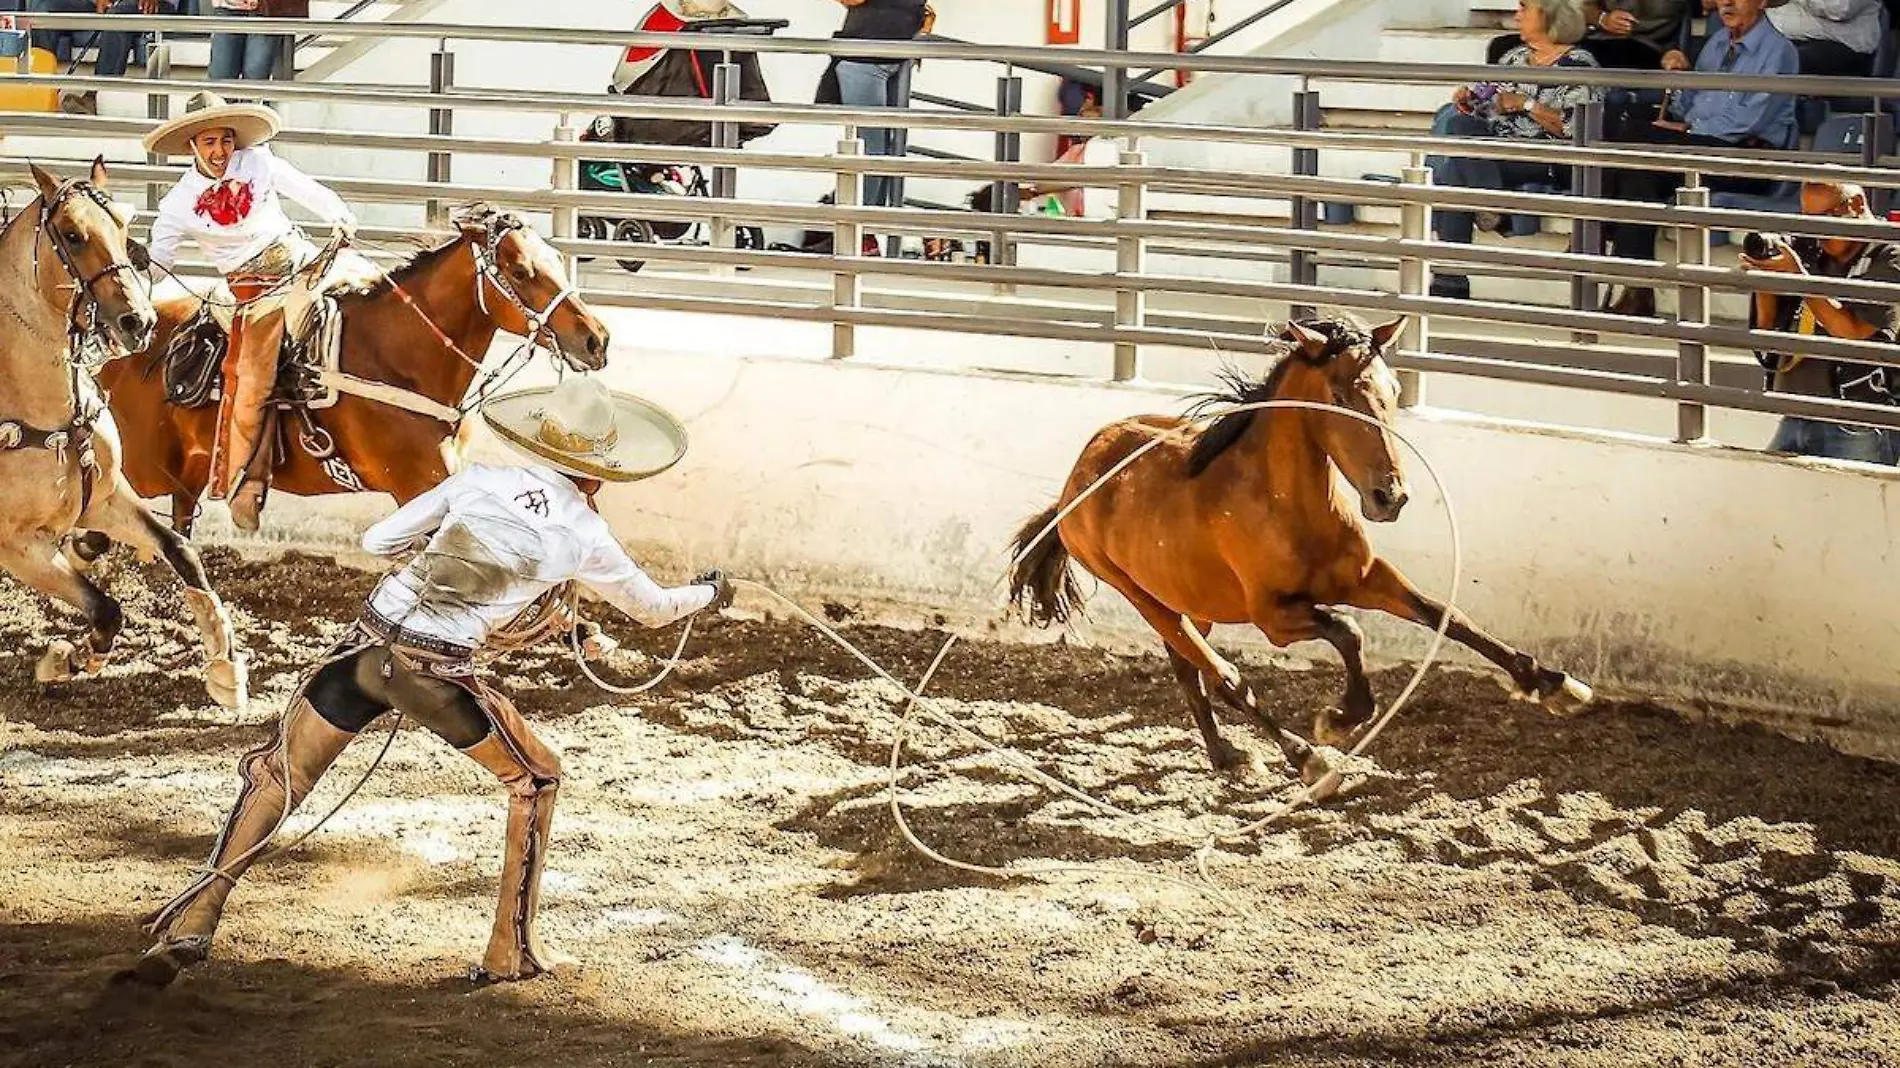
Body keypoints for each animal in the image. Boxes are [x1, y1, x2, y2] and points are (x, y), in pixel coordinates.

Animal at [0, 159, 245, 706]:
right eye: (71, 235)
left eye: (122, 224)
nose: (139, 320)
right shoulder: (19, 546)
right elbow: (104, 607)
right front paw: (64, 659)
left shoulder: (106, 500)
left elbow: (180, 550)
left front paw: (224, 665)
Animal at [94, 201, 608, 528]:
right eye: (521, 271)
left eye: (556, 257)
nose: (596, 338)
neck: (400, 360)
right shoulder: (417, 488)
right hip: (141, 471)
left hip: (188, 475)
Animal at [1010, 311, 1588, 786]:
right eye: (1340, 396)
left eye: (1393, 389)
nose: (1391, 496)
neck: (1289, 510)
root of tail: (1074, 483)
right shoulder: (1275, 616)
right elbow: (1348, 631)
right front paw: (1340, 718)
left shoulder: (1366, 577)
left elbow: (1446, 614)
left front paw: (1554, 684)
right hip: (1144, 597)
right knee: (1223, 676)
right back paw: (1303, 759)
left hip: (1190, 600)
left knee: (1187, 667)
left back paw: (1225, 756)